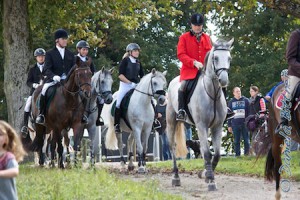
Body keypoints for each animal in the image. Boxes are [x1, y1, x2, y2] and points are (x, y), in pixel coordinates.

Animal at [166, 38, 234, 191]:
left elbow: (216, 154)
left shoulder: (217, 127)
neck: (212, 94)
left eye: (229, 58)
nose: (224, 80)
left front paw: (206, 174)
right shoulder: (201, 125)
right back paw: (175, 177)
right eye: (215, 58)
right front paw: (211, 181)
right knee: (172, 147)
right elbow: (208, 153)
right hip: (171, 121)